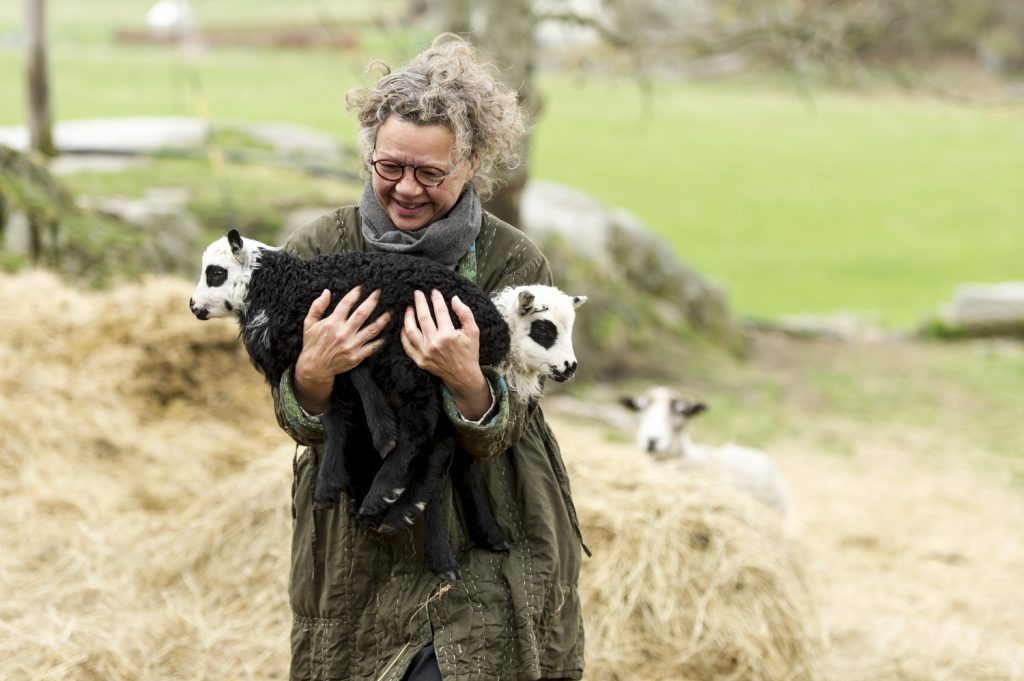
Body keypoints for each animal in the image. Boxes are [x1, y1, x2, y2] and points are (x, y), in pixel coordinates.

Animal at [186, 231, 585, 577]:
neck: (281, 287)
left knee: (424, 429)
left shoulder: (367, 341)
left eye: (215, 273)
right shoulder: (327, 352)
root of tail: (495, 330)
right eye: (546, 328)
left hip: (414, 363)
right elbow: (339, 411)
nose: (192, 306)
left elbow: (359, 396)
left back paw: (388, 500)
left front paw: (376, 448)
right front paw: (337, 483)